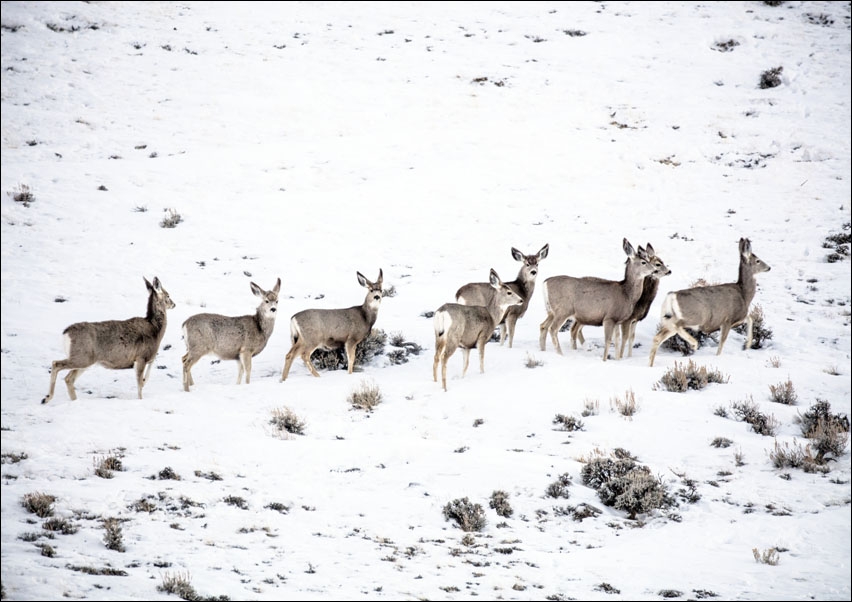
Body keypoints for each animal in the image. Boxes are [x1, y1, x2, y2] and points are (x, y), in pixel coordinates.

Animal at [41, 277, 175, 404]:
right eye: (168, 295)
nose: (174, 304)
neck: (154, 330)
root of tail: (66, 333)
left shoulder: (144, 358)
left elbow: (147, 373)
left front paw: (144, 380)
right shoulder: (141, 357)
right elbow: (140, 385)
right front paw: (140, 399)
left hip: (85, 360)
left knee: (69, 378)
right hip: (82, 357)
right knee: (56, 364)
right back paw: (46, 398)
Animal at [648, 238, 771, 367]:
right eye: (758, 261)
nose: (769, 267)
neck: (744, 294)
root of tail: (671, 296)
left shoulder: (738, 318)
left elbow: (750, 318)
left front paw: (747, 345)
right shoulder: (728, 319)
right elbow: (722, 342)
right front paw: (719, 356)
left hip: (670, 318)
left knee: (658, 337)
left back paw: (650, 364)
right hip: (695, 316)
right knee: (676, 326)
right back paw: (694, 344)